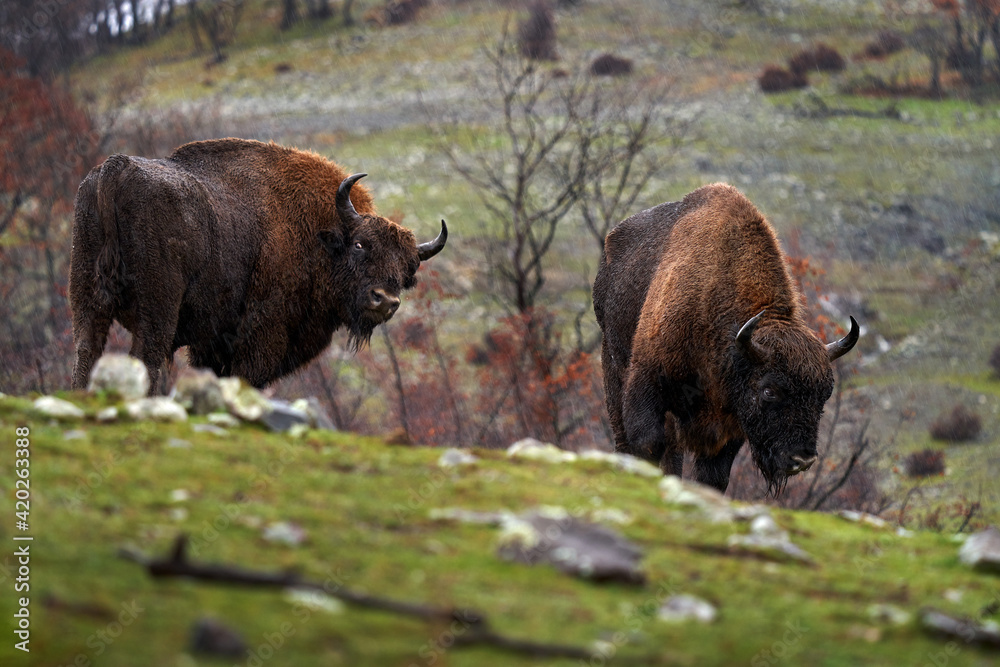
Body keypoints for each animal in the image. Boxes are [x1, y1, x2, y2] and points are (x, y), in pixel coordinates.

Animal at [69, 139, 446, 394]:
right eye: (359, 245)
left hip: (87, 298)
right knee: (144, 358)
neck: (319, 233)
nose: (385, 301)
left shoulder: (213, 348)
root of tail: (116, 168)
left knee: (87, 352)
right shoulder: (261, 338)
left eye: (409, 270)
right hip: (158, 310)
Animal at [592, 185, 860, 494]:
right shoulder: (647, 381)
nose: (801, 460)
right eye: (769, 391)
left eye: (824, 394)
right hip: (613, 367)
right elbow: (648, 445)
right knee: (629, 439)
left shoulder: (731, 423)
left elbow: (713, 475)